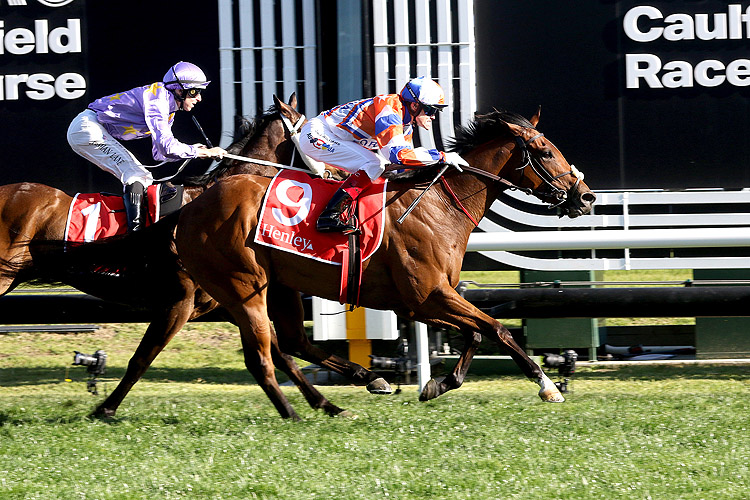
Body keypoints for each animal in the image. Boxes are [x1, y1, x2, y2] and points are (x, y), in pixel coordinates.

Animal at [175, 108, 600, 418]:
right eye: (545, 152)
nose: (585, 196)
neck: (440, 204)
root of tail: (192, 208)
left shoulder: (420, 303)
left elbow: (477, 333)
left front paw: (436, 385)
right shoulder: (430, 294)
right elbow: (498, 329)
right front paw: (547, 386)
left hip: (276, 285)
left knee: (292, 342)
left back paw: (356, 387)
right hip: (242, 287)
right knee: (264, 353)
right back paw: (303, 409)